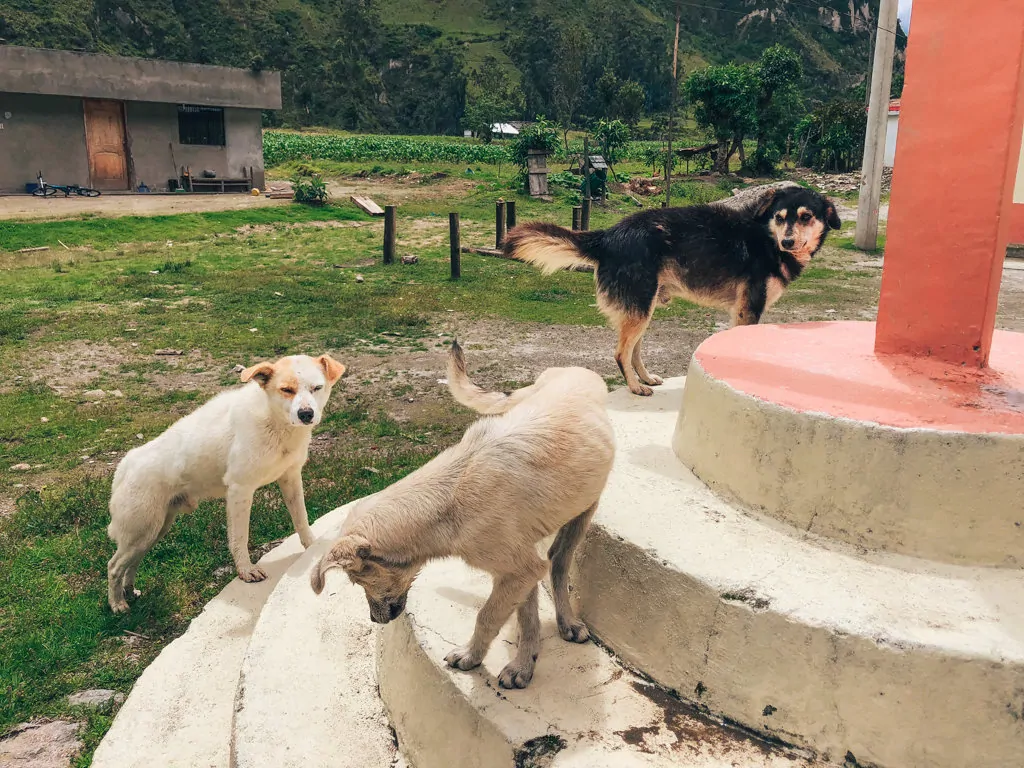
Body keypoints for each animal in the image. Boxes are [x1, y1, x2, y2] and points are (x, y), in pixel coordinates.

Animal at [107, 354, 346, 614]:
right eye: (286, 390)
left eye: (317, 388)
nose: (306, 414)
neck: (275, 422)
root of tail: (125, 465)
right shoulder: (240, 490)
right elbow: (240, 538)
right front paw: (246, 571)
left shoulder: (290, 477)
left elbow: (301, 520)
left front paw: (312, 547)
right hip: (141, 530)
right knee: (113, 566)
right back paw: (117, 604)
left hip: (152, 531)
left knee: (131, 564)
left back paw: (130, 592)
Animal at [311, 342, 610, 692]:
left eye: (358, 580)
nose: (374, 620)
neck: (449, 498)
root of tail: (570, 369)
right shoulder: (520, 569)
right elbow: (527, 617)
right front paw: (525, 663)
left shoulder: (517, 570)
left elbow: (487, 615)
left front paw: (474, 656)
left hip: (584, 511)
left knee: (559, 564)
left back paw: (567, 620)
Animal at [503, 186, 839, 397]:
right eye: (780, 218)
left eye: (806, 216)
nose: (787, 242)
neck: (767, 237)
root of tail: (608, 235)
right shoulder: (749, 307)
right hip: (640, 306)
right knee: (620, 352)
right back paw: (635, 387)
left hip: (643, 307)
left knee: (634, 350)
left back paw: (645, 378)